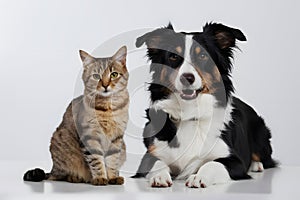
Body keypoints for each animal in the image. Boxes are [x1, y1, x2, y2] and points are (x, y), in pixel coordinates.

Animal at [23, 46, 129, 185]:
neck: (107, 109)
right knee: (61, 175)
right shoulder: (89, 136)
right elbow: (96, 161)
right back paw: (76, 177)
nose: (105, 85)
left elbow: (112, 160)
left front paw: (112, 177)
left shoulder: (117, 138)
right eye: (96, 76)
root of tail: (53, 168)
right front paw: (100, 178)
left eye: (114, 74)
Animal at [131, 22, 276, 188]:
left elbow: (213, 163)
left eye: (202, 56)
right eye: (173, 56)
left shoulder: (235, 160)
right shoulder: (149, 155)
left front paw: (198, 177)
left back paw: (256, 165)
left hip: (261, 136)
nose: (187, 78)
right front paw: (160, 176)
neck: (190, 113)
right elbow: (156, 163)